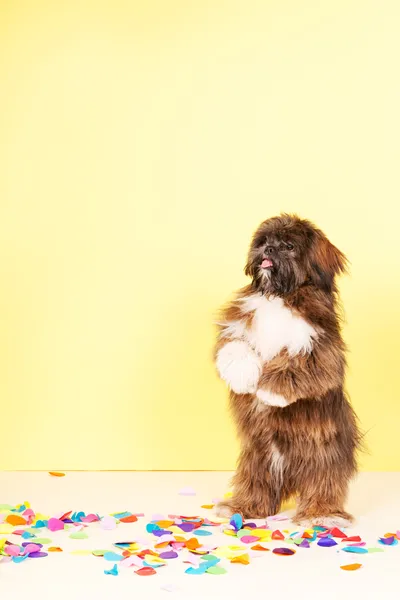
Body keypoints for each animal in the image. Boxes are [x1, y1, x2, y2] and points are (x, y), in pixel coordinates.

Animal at [214, 213, 360, 528]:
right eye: (265, 241)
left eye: (289, 246)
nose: (268, 250)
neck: (280, 296)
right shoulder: (237, 326)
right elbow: (233, 347)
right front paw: (244, 378)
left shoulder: (321, 348)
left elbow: (297, 367)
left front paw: (269, 392)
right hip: (258, 456)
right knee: (257, 484)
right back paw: (241, 507)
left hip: (323, 456)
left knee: (323, 484)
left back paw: (321, 514)